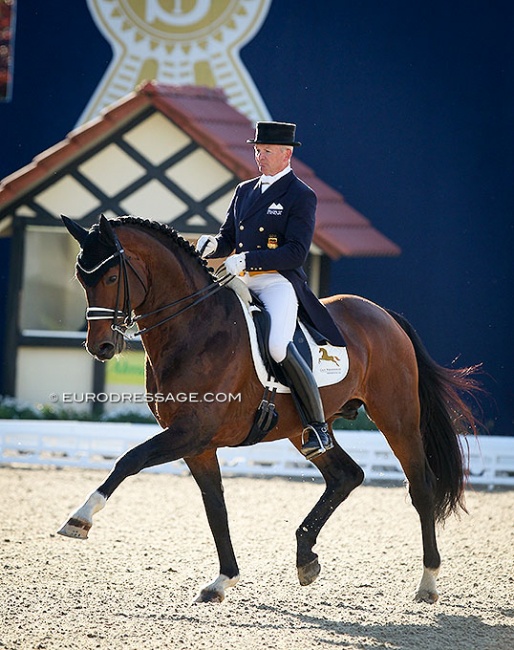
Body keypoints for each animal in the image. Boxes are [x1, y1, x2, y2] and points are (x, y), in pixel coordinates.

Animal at [58, 216, 478, 604]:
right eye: (81, 278)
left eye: (112, 277)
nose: (101, 348)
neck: (195, 328)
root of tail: (386, 315)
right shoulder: (197, 445)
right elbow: (216, 508)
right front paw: (222, 581)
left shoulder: (190, 432)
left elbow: (129, 459)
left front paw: (80, 517)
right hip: (303, 429)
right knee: (346, 476)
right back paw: (306, 558)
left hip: (397, 417)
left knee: (420, 487)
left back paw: (427, 583)